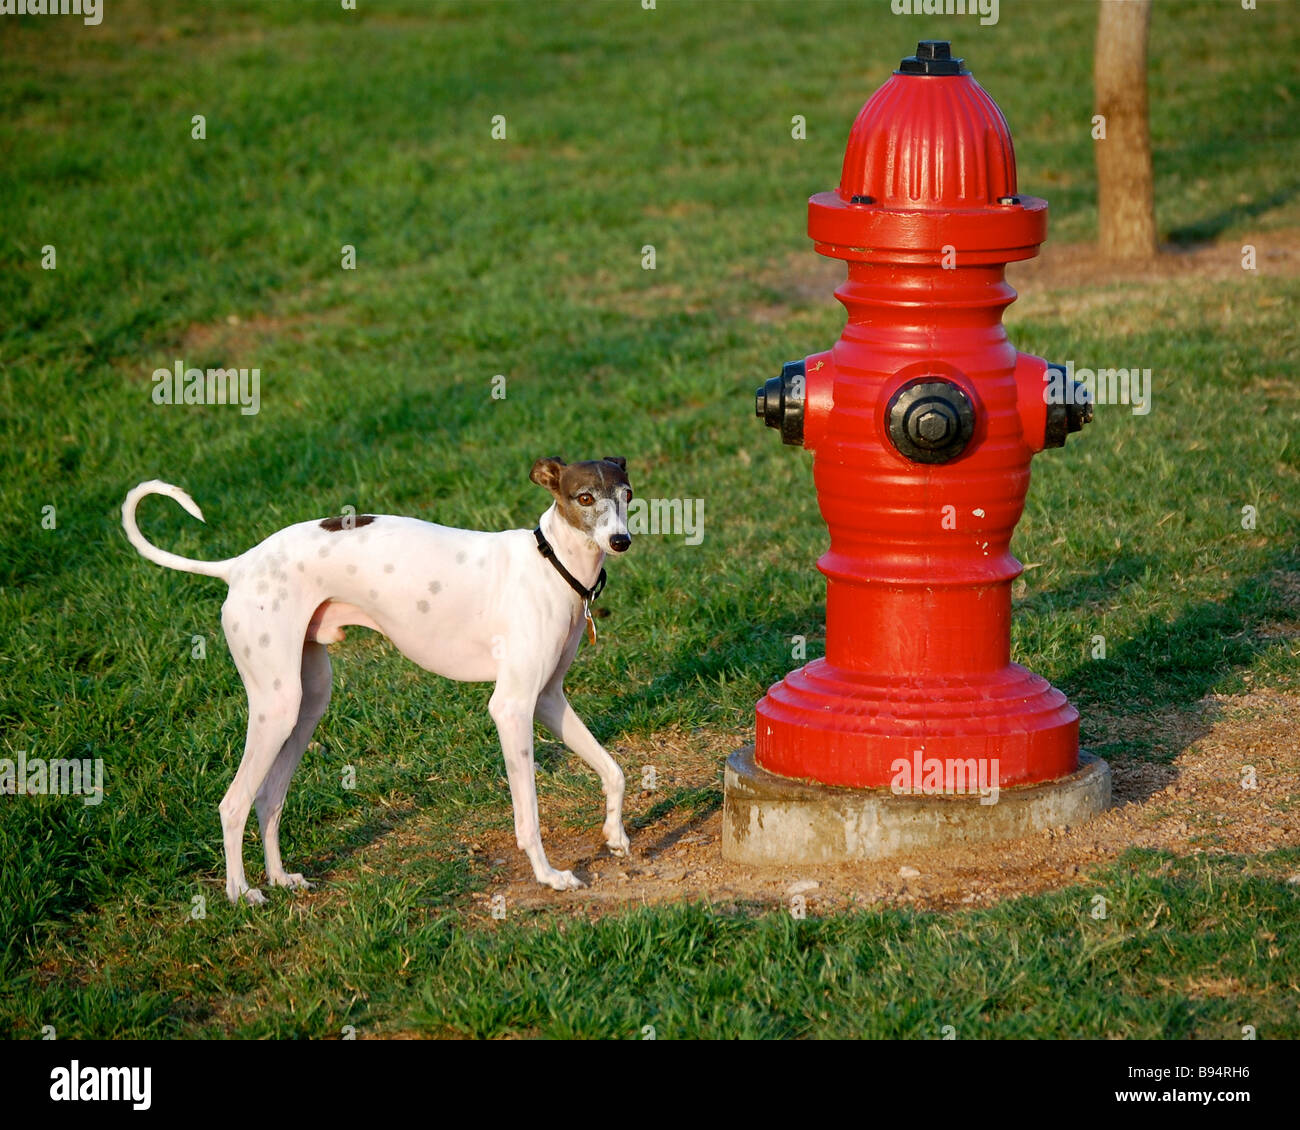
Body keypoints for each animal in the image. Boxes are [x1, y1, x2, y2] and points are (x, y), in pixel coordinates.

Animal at [122, 455, 634, 905]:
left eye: (627, 495)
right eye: (584, 497)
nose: (621, 540)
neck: (552, 564)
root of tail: (239, 565)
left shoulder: (547, 699)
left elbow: (614, 770)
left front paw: (615, 835)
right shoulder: (511, 707)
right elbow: (528, 817)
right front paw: (549, 877)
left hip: (306, 703)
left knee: (269, 798)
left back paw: (282, 879)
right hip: (276, 706)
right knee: (233, 803)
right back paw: (241, 893)